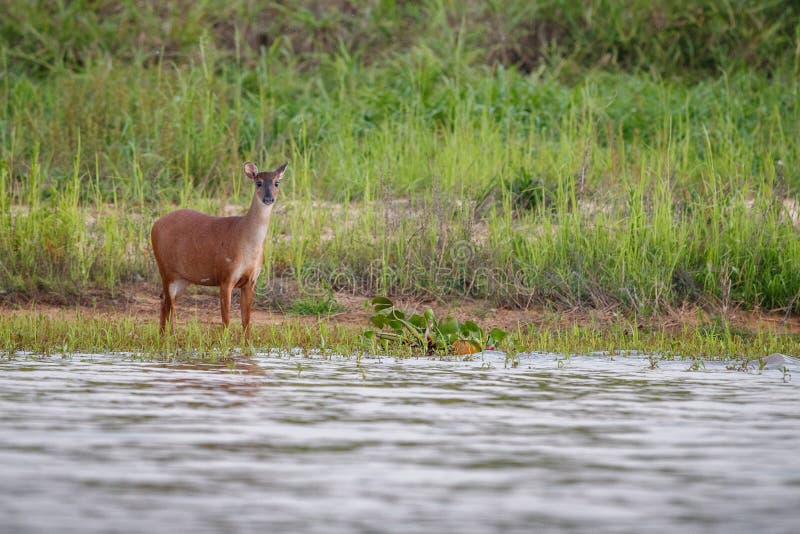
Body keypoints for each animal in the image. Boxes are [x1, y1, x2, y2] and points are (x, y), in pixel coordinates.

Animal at [150, 161, 288, 340]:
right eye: (258, 182)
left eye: (276, 183)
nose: (268, 198)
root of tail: (155, 225)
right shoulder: (225, 276)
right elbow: (226, 318)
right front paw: (224, 342)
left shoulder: (251, 280)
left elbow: (246, 320)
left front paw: (248, 343)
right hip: (166, 269)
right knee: (169, 302)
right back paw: (172, 336)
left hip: (183, 277)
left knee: (163, 298)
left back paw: (162, 336)